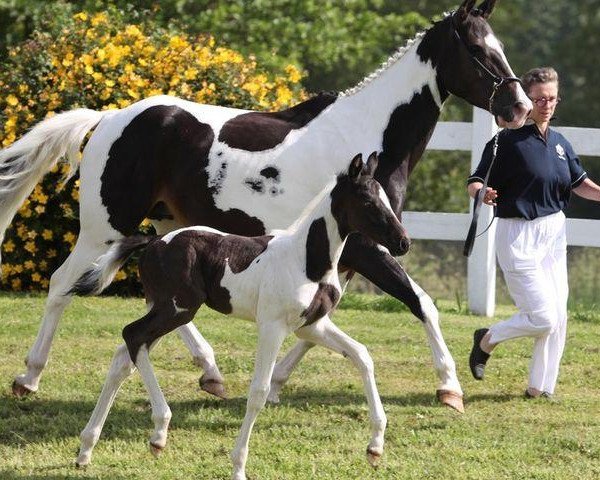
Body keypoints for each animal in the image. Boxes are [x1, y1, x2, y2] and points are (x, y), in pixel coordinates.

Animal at [0, 0, 528, 412]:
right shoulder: (371, 248)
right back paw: (29, 377)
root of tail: (110, 117)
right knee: (62, 285)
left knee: (160, 298)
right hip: (103, 227)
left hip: (166, 227)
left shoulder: (344, 257)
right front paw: (450, 388)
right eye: (478, 50)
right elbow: (422, 304)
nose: (520, 107)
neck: (368, 140)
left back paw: (210, 372)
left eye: (501, 46)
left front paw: (275, 383)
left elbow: (317, 324)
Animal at [71, 154, 408, 480]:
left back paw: (88, 449)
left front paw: (375, 448)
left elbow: (362, 356)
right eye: (367, 201)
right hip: (177, 308)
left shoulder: (312, 327)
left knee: (125, 355)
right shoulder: (272, 327)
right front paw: (238, 467)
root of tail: (154, 242)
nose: (402, 242)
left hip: (166, 309)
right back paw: (158, 432)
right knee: (132, 335)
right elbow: (259, 391)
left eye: (386, 199)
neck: (306, 259)